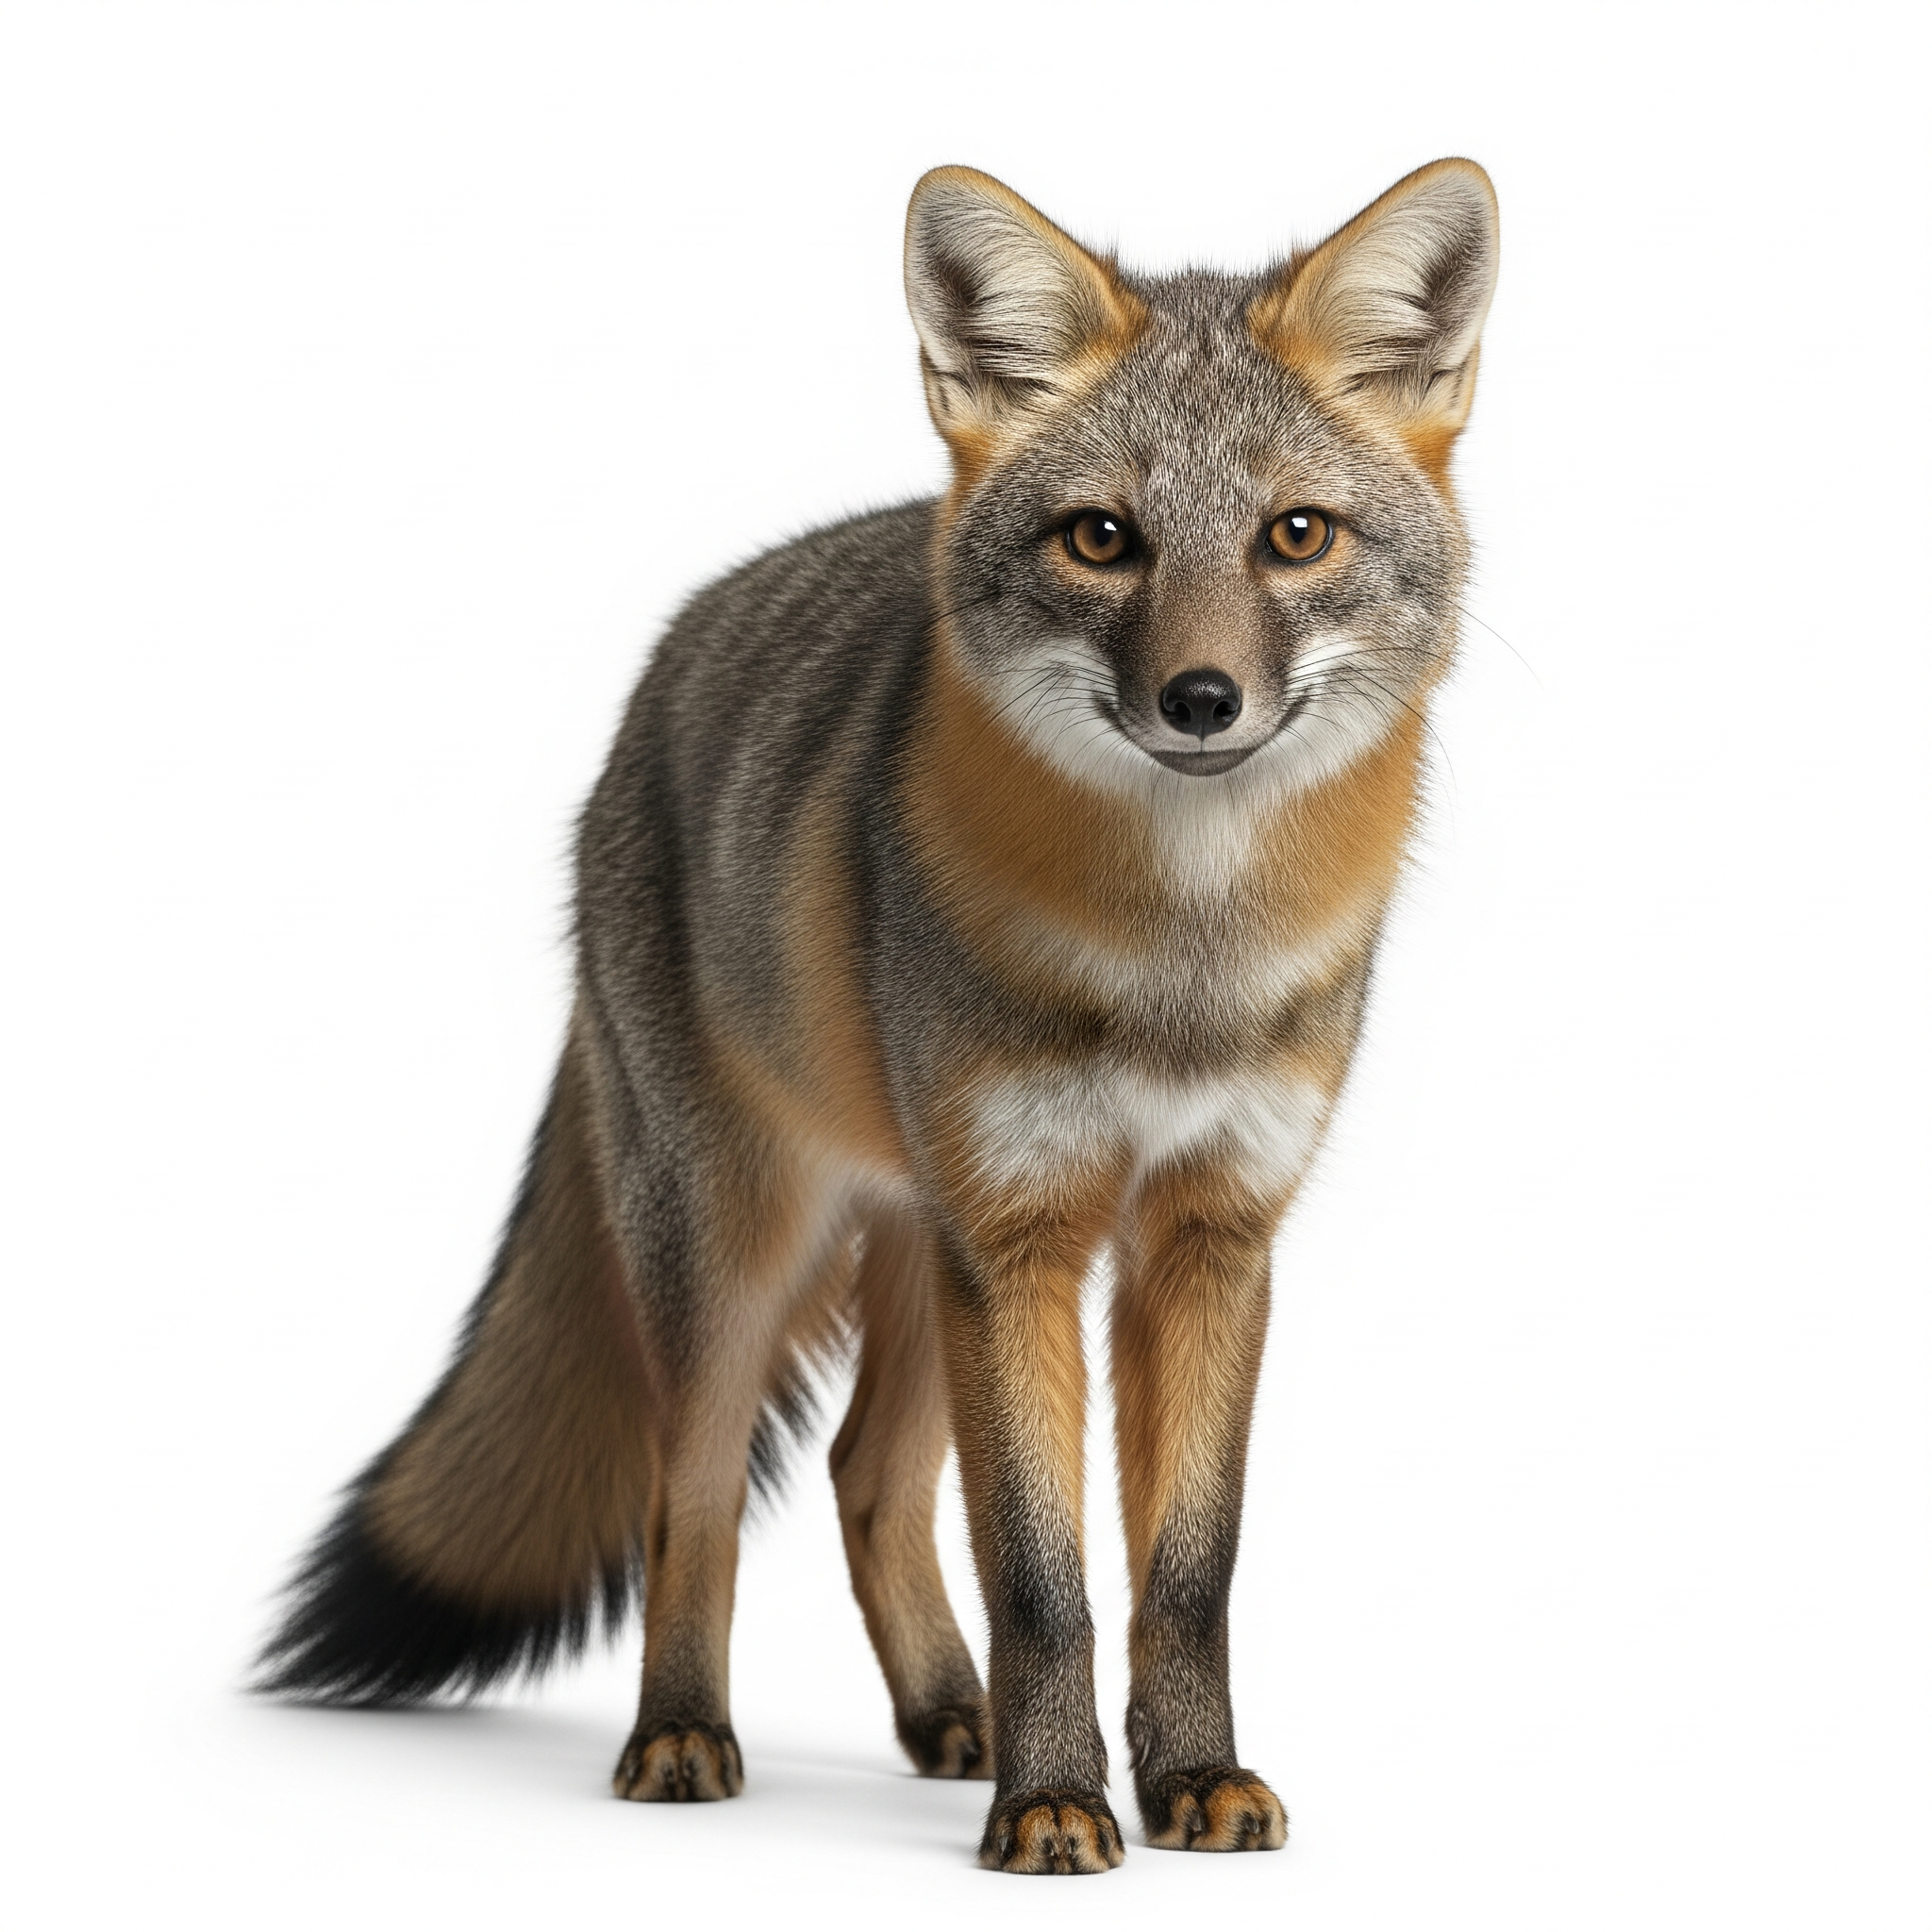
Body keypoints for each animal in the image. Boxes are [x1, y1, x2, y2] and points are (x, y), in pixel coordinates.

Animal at [260, 158, 1499, 1874]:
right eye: (1101, 539)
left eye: (1294, 537)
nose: (1200, 702)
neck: (1177, 968)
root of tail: (663, 667)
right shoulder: (1022, 1235)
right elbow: (1040, 1571)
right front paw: (1054, 1802)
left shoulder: (1207, 1233)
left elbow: (1185, 1566)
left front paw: (1187, 1776)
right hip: (744, 1246)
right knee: (695, 1492)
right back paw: (682, 1732)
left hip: (920, 1247)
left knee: (862, 1476)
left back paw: (942, 1714)